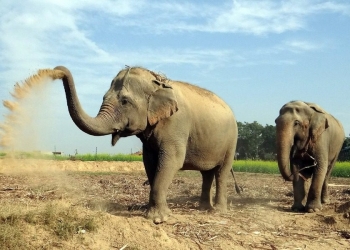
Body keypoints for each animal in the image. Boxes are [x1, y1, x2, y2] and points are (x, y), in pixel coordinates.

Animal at [54, 65, 238, 224]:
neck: (158, 83)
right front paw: (151, 212)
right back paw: (203, 208)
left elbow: (172, 161)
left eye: (125, 101)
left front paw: (158, 219)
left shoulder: (176, 124)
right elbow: (150, 163)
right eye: (103, 98)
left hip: (232, 141)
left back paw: (218, 211)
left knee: (221, 172)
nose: (57, 70)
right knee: (207, 174)